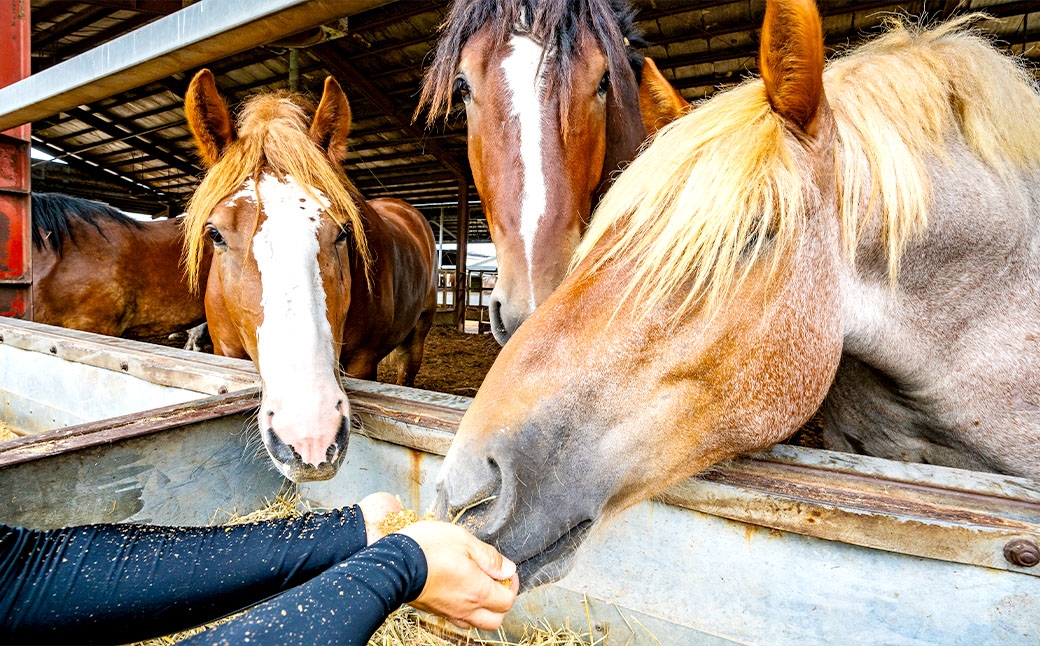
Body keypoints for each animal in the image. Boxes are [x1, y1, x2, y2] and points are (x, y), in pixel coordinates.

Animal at [183, 70, 438, 482]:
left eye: (344, 231)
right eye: (215, 234)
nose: (310, 438)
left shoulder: (363, 362)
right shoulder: (225, 352)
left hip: (417, 335)